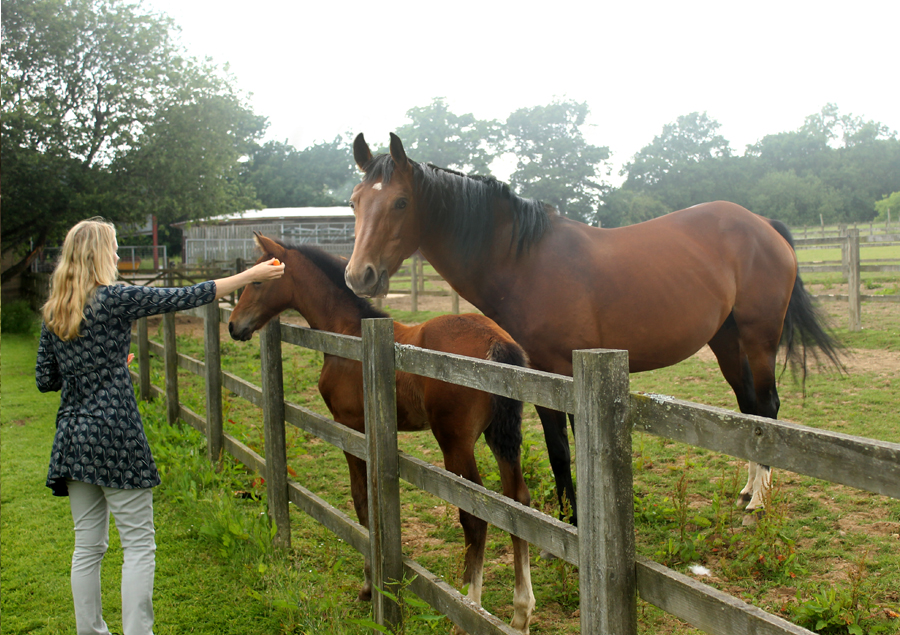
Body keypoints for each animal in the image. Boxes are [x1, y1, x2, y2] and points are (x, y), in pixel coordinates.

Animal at [230, 235, 536, 635]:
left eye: (257, 281)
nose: (233, 326)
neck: (348, 332)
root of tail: (496, 342)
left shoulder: (350, 427)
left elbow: (362, 502)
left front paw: (367, 586)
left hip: (455, 443)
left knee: (475, 516)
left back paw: (470, 607)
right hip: (500, 438)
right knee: (517, 505)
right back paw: (520, 613)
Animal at [344, 132, 844, 524]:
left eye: (400, 202)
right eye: (355, 202)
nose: (359, 275)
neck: (525, 261)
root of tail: (763, 224)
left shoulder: (564, 372)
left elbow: (569, 448)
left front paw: (578, 520)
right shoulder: (538, 373)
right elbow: (557, 449)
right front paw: (568, 515)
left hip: (760, 338)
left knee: (767, 408)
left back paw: (759, 502)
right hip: (726, 341)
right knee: (748, 409)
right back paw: (747, 490)